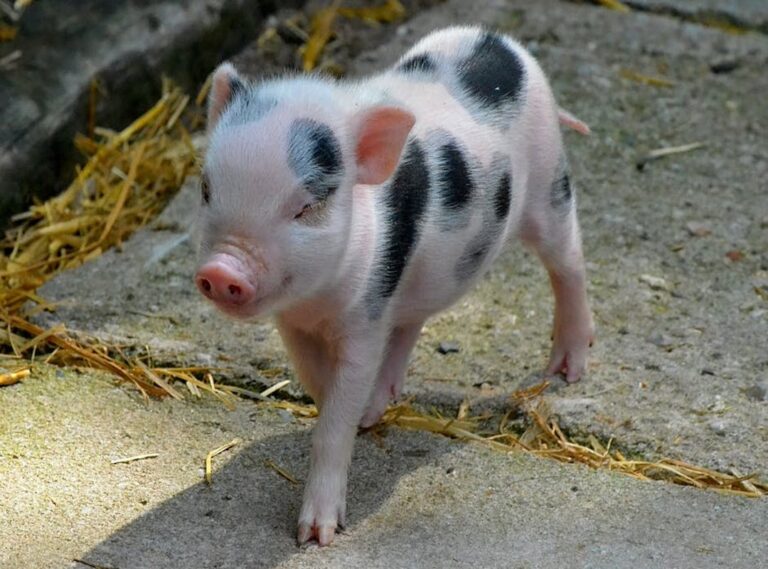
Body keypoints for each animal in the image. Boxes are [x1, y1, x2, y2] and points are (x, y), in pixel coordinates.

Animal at [195, 26, 594, 546]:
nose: (222, 270)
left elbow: (335, 416)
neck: (317, 300)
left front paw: (315, 537)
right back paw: (379, 402)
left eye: (306, 206)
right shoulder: (296, 322)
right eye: (206, 190)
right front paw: (358, 413)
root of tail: (498, 40)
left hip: (550, 183)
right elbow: (316, 381)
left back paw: (566, 371)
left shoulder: (365, 318)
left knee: (569, 262)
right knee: (411, 321)